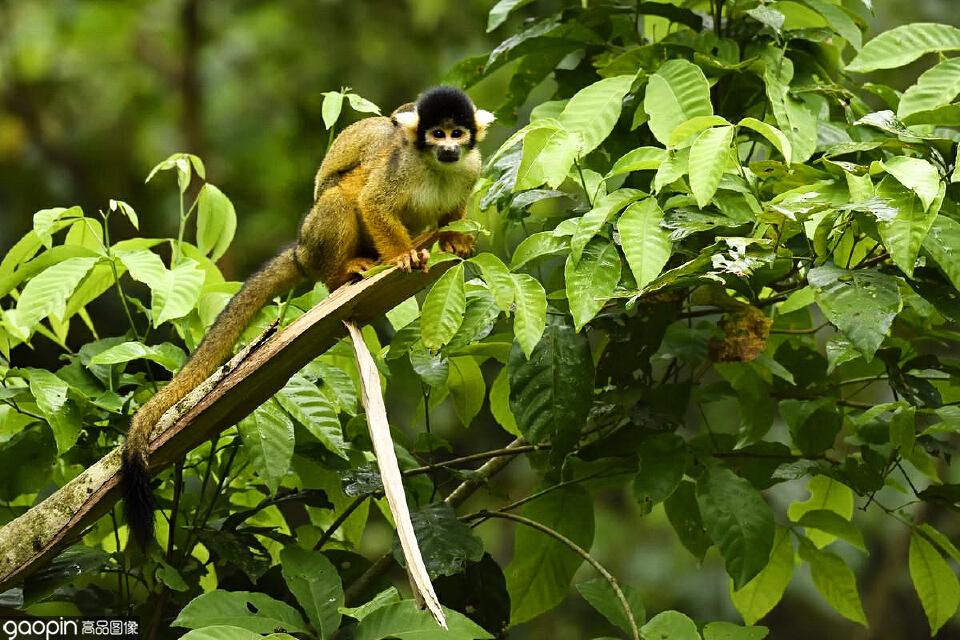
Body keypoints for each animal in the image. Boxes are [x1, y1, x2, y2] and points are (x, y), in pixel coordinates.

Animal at [122, 85, 496, 544]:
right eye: (437, 133)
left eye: (457, 133)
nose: (447, 148)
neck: (436, 167)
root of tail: (303, 251)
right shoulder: (400, 164)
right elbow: (373, 202)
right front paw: (402, 257)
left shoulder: (470, 169)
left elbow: (453, 207)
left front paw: (454, 237)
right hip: (318, 238)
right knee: (342, 196)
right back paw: (345, 272)